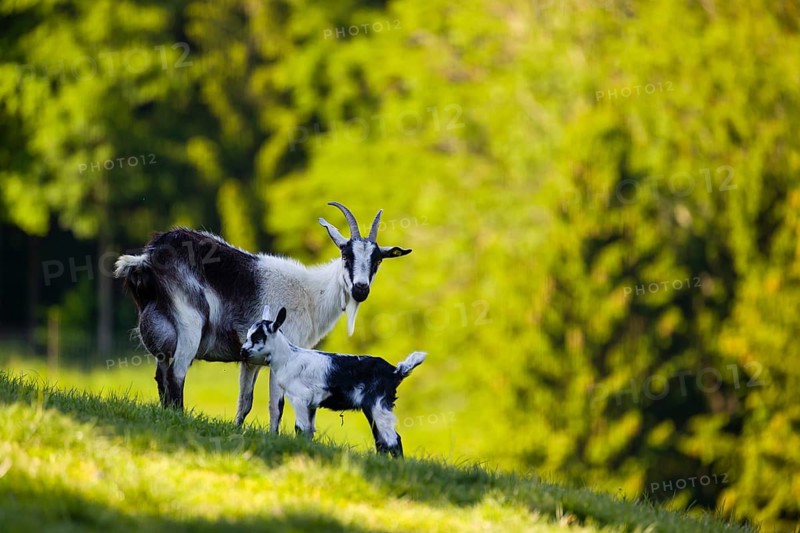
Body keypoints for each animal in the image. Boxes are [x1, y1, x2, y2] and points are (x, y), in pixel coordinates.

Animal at [113, 202, 412, 429]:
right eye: (346, 255)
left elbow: (244, 403)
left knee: (161, 376)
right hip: (189, 325)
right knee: (176, 375)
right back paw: (180, 418)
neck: (311, 294)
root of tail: (147, 259)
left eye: (377, 260)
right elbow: (275, 405)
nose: (361, 289)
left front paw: (238, 431)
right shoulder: (282, 358)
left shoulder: (250, 361)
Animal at [240, 306, 426, 457]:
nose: (242, 351)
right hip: (373, 408)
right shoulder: (311, 404)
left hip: (378, 405)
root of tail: (395, 371)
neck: (289, 357)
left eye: (257, 337)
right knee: (381, 440)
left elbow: (300, 428)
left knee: (393, 440)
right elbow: (308, 431)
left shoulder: (299, 398)